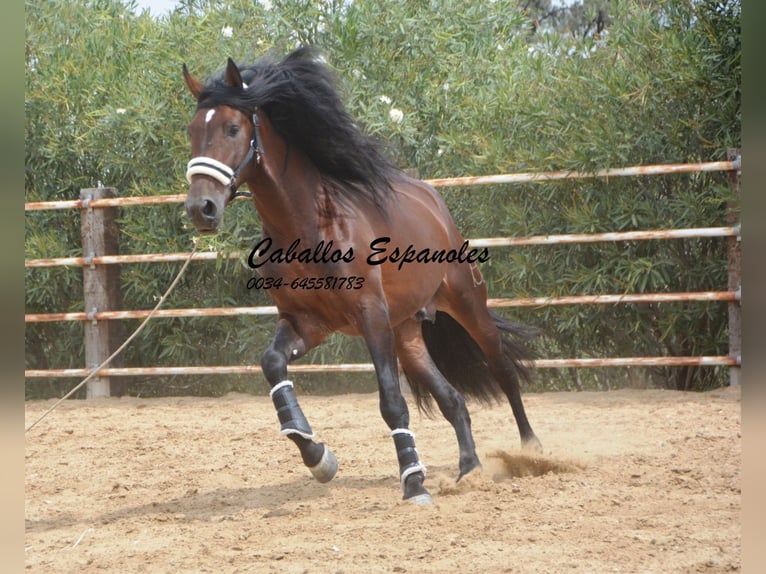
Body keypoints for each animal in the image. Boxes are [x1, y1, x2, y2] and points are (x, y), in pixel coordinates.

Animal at [182, 47, 540, 504]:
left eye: (232, 127)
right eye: (192, 131)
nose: (201, 208)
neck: (309, 225)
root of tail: (434, 204)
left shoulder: (370, 315)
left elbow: (391, 401)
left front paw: (414, 483)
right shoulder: (307, 322)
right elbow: (273, 365)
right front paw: (318, 456)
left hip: (467, 305)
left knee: (502, 371)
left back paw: (531, 452)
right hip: (407, 333)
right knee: (453, 399)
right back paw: (469, 470)